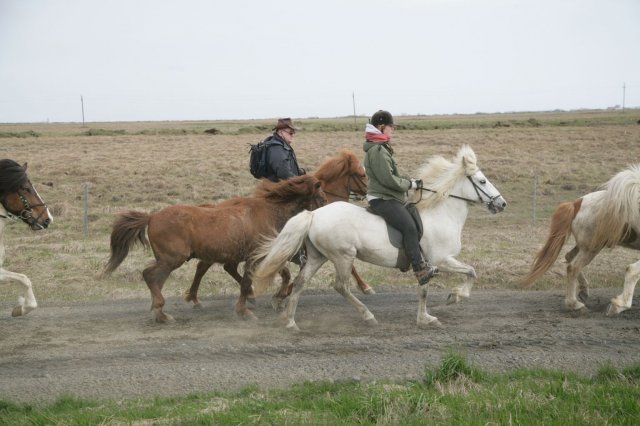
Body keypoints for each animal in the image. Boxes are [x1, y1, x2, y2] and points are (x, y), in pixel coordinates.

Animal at [106, 175, 324, 322]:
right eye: (321, 197)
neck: (269, 212)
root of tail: (151, 217)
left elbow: (279, 275)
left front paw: (274, 298)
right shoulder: (254, 257)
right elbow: (247, 282)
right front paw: (244, 311)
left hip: (168, 261)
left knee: (156, 280)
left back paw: (160, 310)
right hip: (171, 260)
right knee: (150, 275)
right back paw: (162, 313)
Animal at [180, 150, 370, 310]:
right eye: (361, 174)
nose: (366, 192)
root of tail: (214, 207)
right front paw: (366, 287)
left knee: (225, 267)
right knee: (204, 266)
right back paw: (197, 298)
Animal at [252, 145, 508, 332]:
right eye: (482, 181)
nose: (502, 204)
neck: (441, 213)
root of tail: (314, 214)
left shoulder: (433, 263)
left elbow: (433, 285)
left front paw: (430, 314)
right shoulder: (440, 260)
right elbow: (467, 273)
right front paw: (451, 300)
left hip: (318, 257)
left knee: (300, 283)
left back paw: (290, 322)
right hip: (343, 256)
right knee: (341, 286)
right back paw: (368, 316)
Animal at [520, 165, 640, 314]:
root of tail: (577, 203)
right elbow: (633, 271)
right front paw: (619, 304)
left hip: (585, 246)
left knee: (569, 256)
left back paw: (583, 291)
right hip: (591, 248)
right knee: (573, 267)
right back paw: (575, 304)